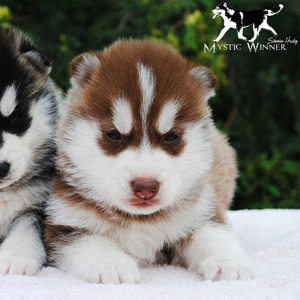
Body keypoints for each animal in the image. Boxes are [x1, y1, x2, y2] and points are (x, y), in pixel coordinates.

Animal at [45, 39, 255, 284]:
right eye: (114, 134)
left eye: (171, 136)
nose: (145, 186)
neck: (140, 220)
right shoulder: (63, 224)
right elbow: (91, 241)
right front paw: (111, 263)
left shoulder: (202, 212)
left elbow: (214, 235)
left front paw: (229, 262)